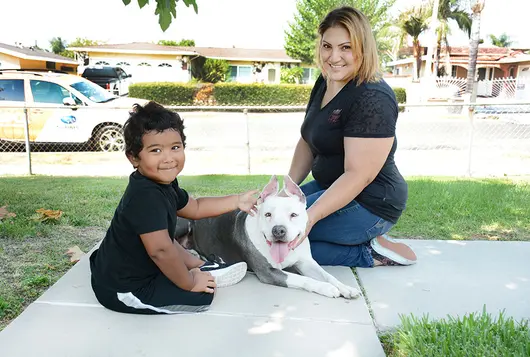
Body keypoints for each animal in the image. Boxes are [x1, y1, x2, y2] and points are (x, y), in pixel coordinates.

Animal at [176, 175, 358, 298]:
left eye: (294, 215)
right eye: (268, 214)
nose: (278, 230)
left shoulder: (306, 262)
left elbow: (327, 275)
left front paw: (345, 287)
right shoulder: (268, 272)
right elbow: (303, 279)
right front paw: (326, 288)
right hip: (184, 221)